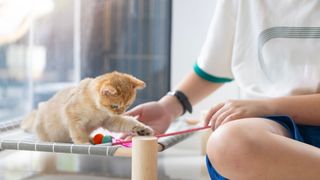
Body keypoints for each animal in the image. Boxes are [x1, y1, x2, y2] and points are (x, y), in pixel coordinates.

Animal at [20, 71, 154, 143]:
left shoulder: (109, 121)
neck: (97, 110)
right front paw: (84, 143)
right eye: (115, 106)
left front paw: (142, 129)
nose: (121, 113)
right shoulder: (73, 117)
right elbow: (78, 133)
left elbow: (129, 123)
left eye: (128, 105)